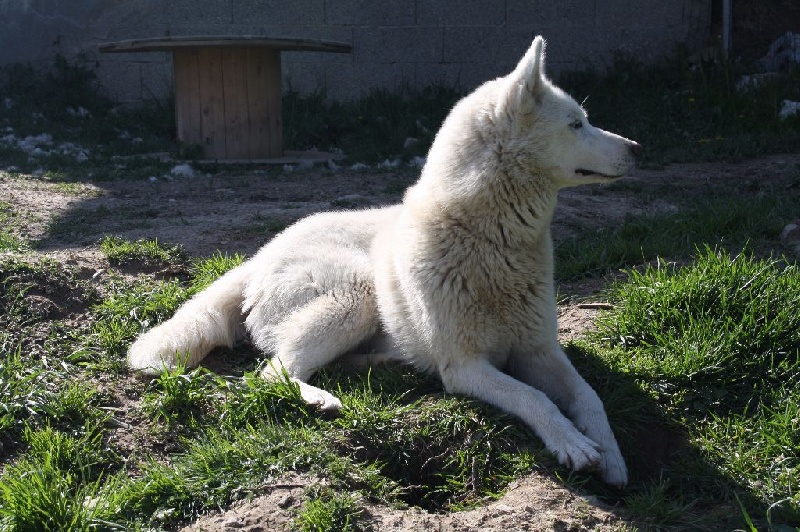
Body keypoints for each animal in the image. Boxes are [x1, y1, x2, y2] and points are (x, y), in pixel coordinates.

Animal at [131, 36, 644, 486]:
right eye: (576, 124)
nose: (638, 149)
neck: (490, 240)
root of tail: (257, 257)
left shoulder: (539, 350)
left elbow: (588, 396)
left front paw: (614, 457)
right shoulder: (466, 366)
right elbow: (534, 397)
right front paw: (571, 443)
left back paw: (382, 365)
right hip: (354, 295)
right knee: (271, 373)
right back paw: (320, 398)